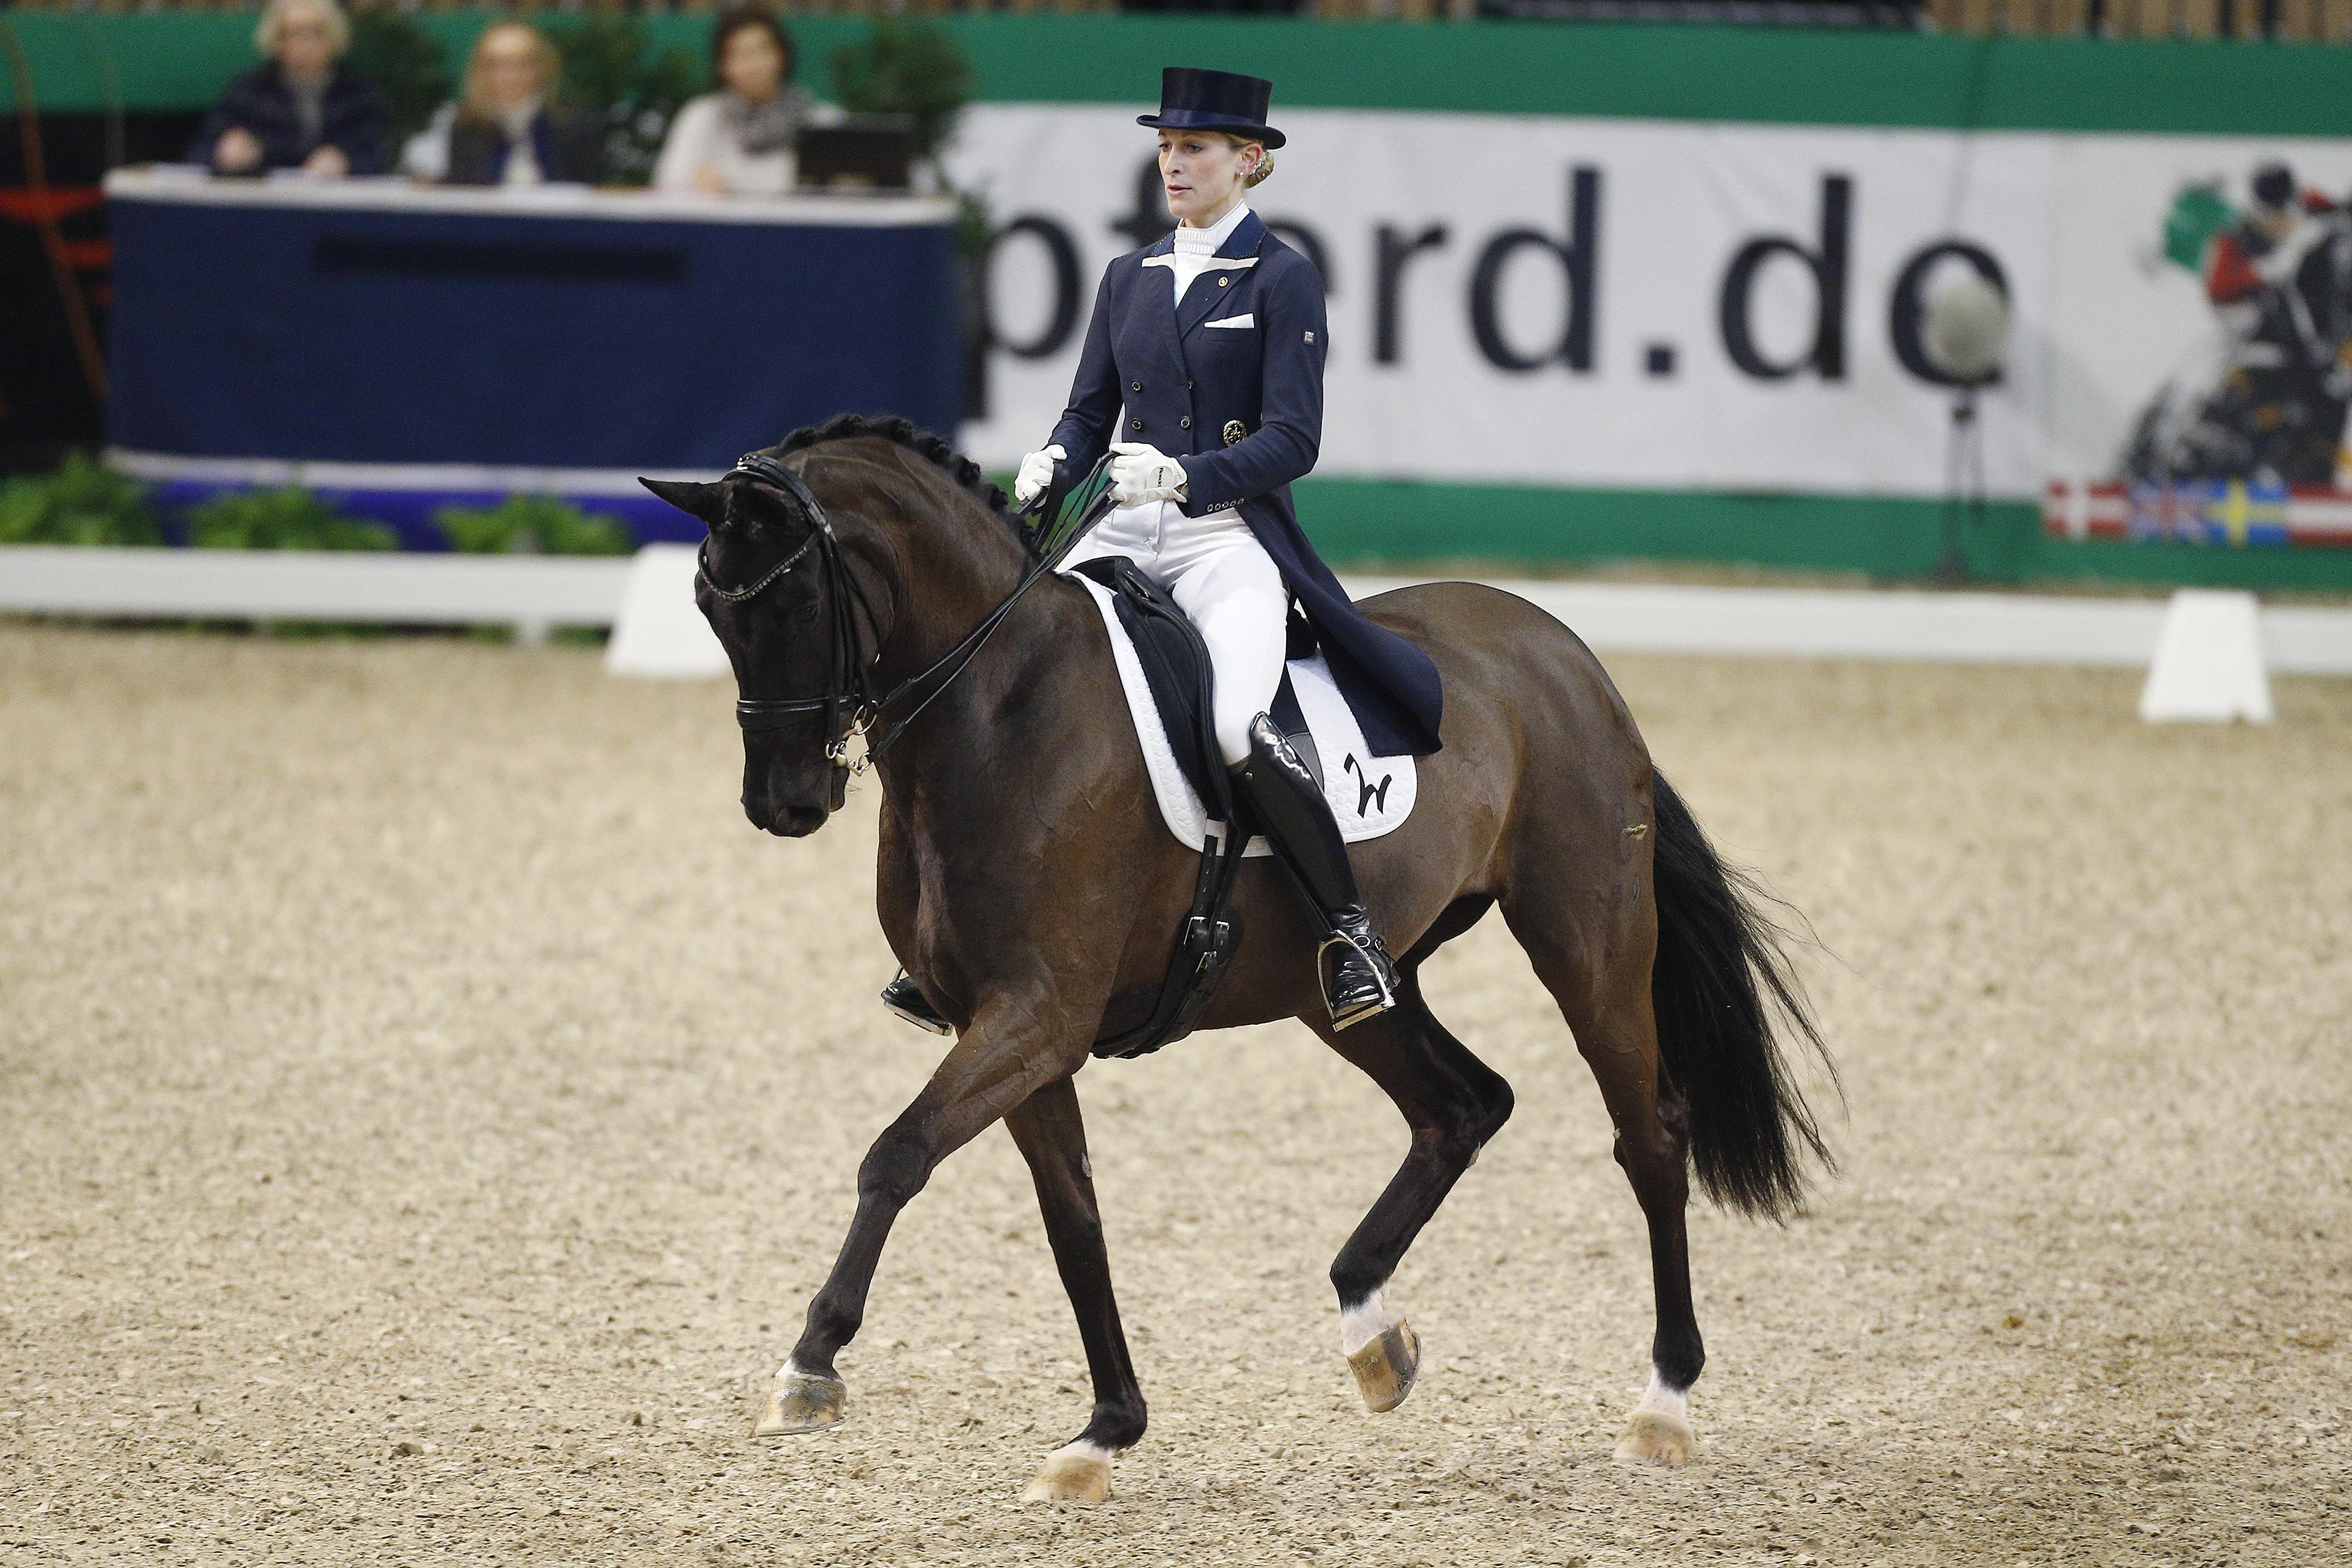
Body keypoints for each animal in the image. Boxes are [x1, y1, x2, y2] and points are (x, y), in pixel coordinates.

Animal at [649, 416, 1834, 1504]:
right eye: (710, 608)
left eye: (797, 604)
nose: (783, 803)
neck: (999, 710)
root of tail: (1560, 648)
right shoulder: (1017, 1029)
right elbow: (1073, 1220)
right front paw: (1104, 1431)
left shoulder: (1037, 1014)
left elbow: (895, 1155)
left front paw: (810, 1365)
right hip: (1337, 986)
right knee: (1462, 1102)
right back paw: (1371, 1330)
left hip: (1587, 939)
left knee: (1650, 1134)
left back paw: (1661, 1403)